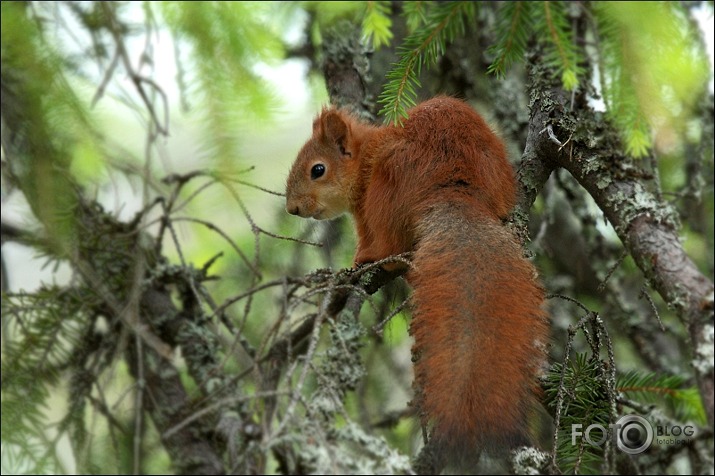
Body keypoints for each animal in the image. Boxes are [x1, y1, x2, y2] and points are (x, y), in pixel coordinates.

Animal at [286, 96, 548, 464]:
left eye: (317, 170)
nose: (292, 208)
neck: (364, 155)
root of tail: (455, 186)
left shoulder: (365, 210)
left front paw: (356, 260)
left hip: (386, 187)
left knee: (391, 246)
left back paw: (375, 260)